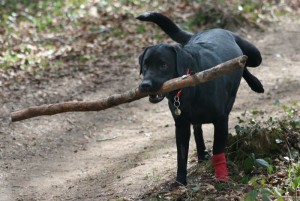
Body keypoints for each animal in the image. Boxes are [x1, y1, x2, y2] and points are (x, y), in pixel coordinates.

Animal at [137, 11, 264, 186]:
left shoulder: (221, 120)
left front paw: (222, 177)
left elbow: (218, 150)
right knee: (198, 128)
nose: (145, 85)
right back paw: (201, 154)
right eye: (145, 65)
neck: (187, 88)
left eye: (163, 65)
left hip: (255, 56)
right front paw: (180, 182)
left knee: (243, 63)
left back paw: (256, 84)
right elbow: (181, 155)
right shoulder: (181, 125)